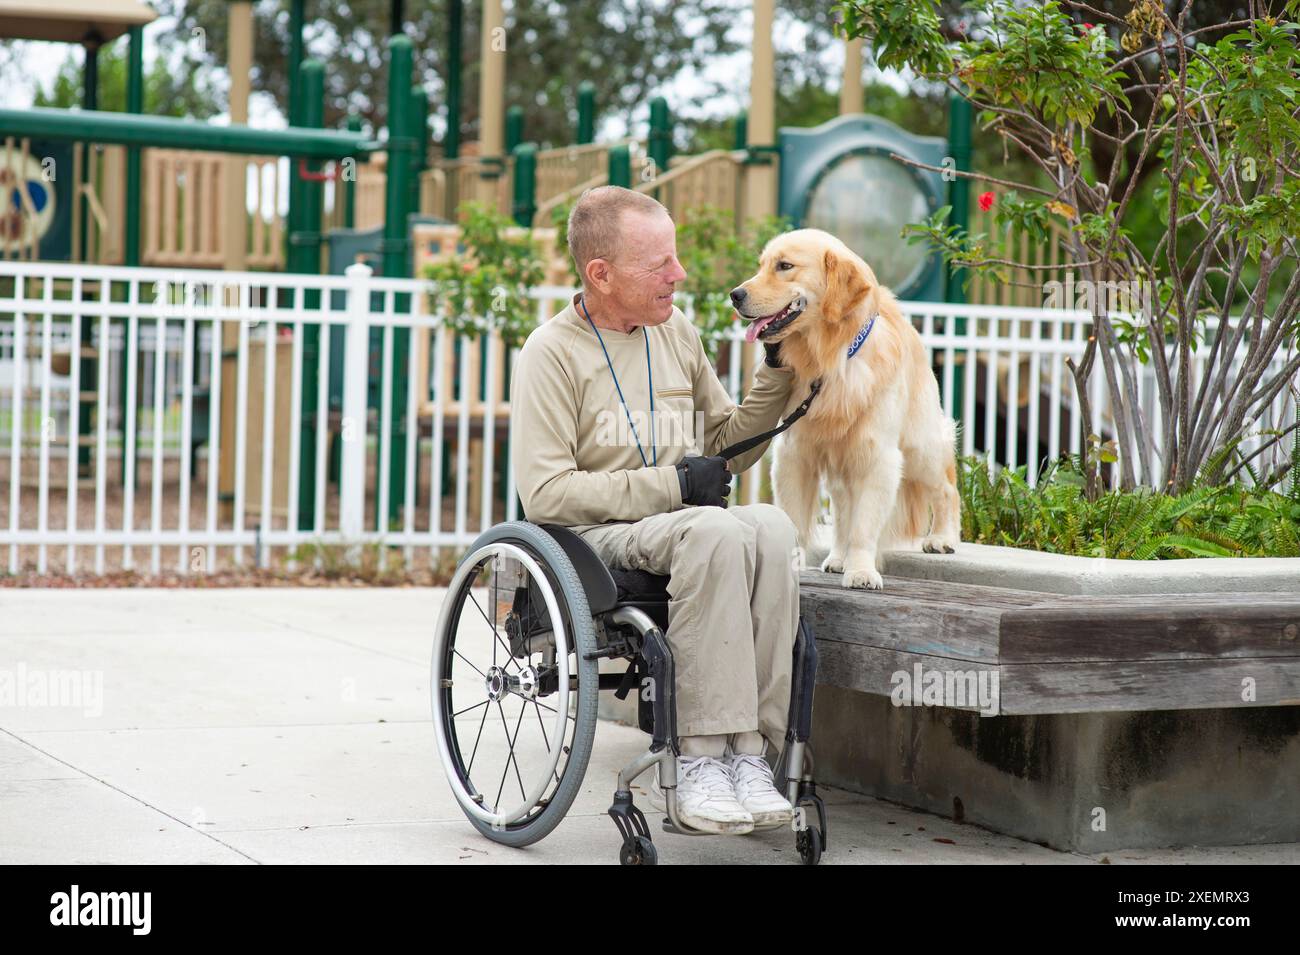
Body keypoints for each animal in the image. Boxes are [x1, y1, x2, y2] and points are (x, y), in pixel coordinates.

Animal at [738, 231, 961, 589]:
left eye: (784, 266)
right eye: (761, 266)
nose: (735, 295)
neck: (830, 360)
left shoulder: (877, 456)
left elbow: (864, 525)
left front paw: (862, 571)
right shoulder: (795, 452)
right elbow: (797, 519)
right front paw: (795, 567)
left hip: (919, 448)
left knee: (946, 488)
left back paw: (942, 537)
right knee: (843, 508)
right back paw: (838, 558)